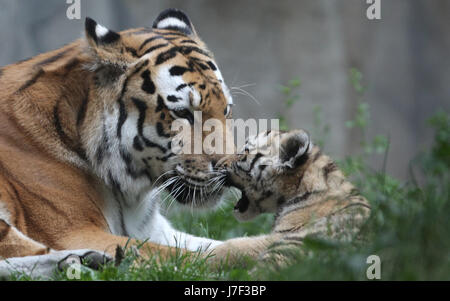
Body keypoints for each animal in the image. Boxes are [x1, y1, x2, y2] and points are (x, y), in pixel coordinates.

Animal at [0, 8, 232, 270]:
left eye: (226, 110)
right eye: (183, 113)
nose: (228, 168)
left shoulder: (154, 230)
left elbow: (218, 245)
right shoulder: (76, 232)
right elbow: (197, 257)